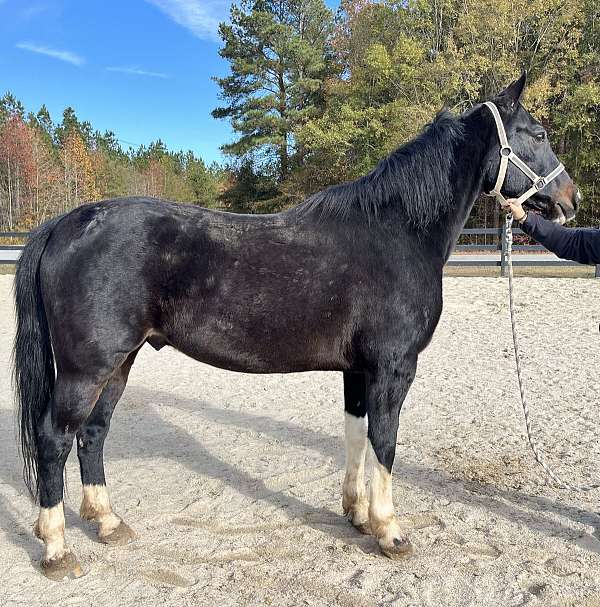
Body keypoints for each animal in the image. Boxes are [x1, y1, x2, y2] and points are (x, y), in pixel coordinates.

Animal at [12, 75, 576, 580]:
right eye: (538, 133)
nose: (569, 199)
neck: (395, 232)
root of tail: (63, 223)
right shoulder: (393, 369)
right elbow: (385, 441)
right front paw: (390, 531)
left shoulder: (357, 371)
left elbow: (355, 434)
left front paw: (357, 514)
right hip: (87, 369)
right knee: (55, 439)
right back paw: (57, 549)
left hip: (119, 363)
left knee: (93, 433)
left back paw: (107, 523)